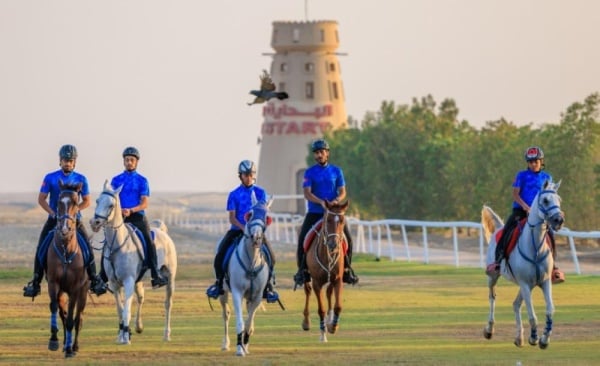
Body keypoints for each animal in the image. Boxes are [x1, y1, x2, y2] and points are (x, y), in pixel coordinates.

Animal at [89, 182, 178, 344]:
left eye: (111, 205)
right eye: (97, 201)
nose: (95, 223)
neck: (118, 245)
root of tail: (162, 231)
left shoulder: (128, 281)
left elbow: (126, 311)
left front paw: (125, 337)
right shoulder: (114, 284)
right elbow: (120, 310)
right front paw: (122, 334)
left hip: (170, 278)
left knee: (168, 303)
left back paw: (166, 334)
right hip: (139, 281)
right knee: (141, 298)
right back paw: (138, 327)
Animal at [218, 199, 272, 356]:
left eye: (266, 216)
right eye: (250, 214)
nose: (256, 237)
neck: (251, 263)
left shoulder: (257, 296)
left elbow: (249, 324)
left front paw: (245, 346)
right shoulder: (237, 292)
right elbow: (240, 322)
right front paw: (239, 349)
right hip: (223, 292)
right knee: (226, 314)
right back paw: (225, 344)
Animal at [302, 199, 350, 342]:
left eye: (342, 221)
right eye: (328, 220)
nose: (333, 244)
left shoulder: (338, 279)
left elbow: (338, 306)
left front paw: (333, 326)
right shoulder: (317, 283)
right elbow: (321, 309)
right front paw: (323, 334)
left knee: (329, 293)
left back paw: (330, 321)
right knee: (307, 291)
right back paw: (306, 322)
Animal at [480, 180, 564, 348]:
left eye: (559, 200)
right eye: (545, 200)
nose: (559, 220)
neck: (535, 248)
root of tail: (498, 228)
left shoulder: (544, 281)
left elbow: (549, 310)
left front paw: (544, 339)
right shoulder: (525, 283)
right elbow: (532, 315)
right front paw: (534, 338)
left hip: (527, 285)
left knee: (515, 304)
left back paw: (519, 338)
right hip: (494, 277)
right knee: (492, 297)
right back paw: (489, 330)